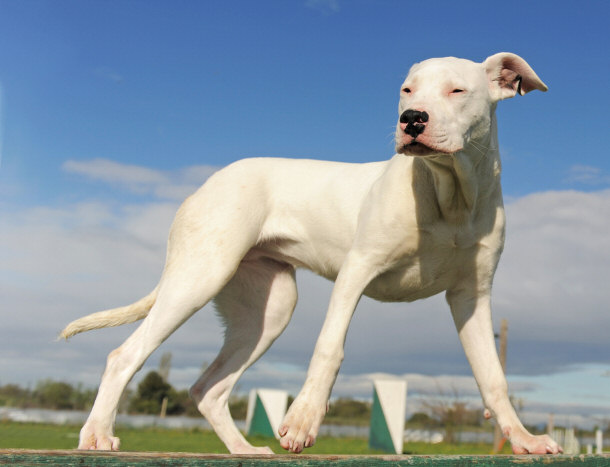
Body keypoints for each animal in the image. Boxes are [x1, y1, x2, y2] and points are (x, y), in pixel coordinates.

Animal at [59, 53, 560, 456]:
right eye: (407, 90)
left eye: (457, 90)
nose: (412, 118)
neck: (451, 196)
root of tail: (207, 183)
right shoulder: (356, 272)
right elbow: (329, 348)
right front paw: (302, 421)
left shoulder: (471, 297)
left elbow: (493, 376)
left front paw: (524, 439)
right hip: (199, 277)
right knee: (125, 355)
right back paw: (97, 435)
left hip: (268, 310)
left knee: (209, 388)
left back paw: (244, 450)